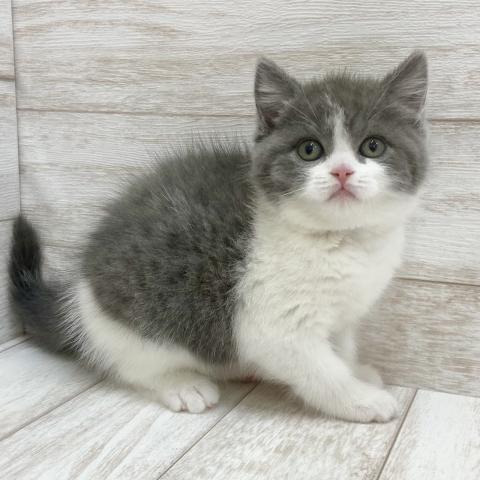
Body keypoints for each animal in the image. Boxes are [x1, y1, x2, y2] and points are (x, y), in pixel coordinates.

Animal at [9, 51, 428, 422]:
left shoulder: (342, 314)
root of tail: (79, 293)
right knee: (132, 364)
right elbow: (321, 370)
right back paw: (182, 384)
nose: (342, 172)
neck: (339, 239)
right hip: (137, 321)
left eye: (372, 146)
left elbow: (341, 348)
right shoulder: (272, 323)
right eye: (310, 149)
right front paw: (361, 399)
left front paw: (358, 371)